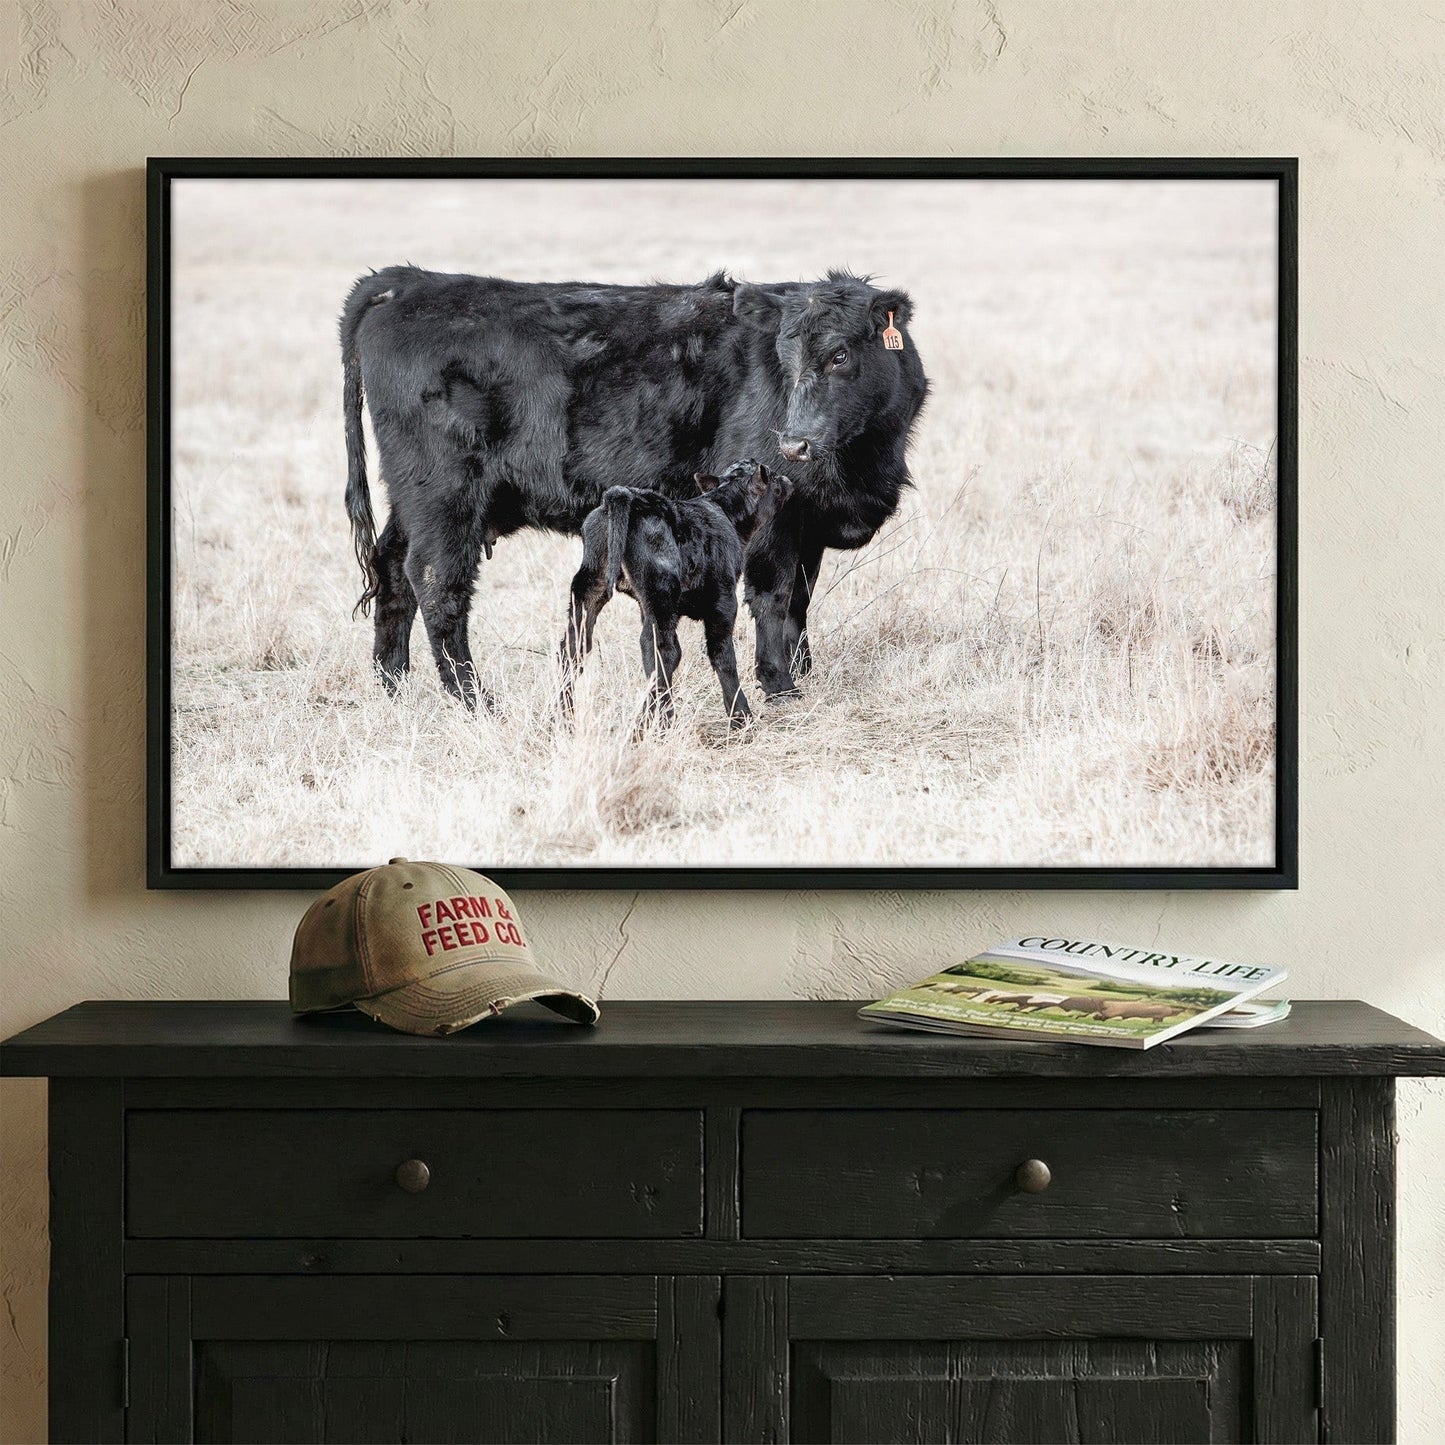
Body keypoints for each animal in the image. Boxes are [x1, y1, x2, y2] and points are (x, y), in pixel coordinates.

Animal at [559, 459, 794, 728]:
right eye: (773, 477)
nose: (787, 480)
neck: (726, 511)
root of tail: (626, 496)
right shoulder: (723, 600)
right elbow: (722, 655)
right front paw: (740, 715)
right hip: (661, 589)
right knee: (660, 649)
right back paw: (660, 719)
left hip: (592, 585)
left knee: (574, 646)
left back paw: (564, 716)